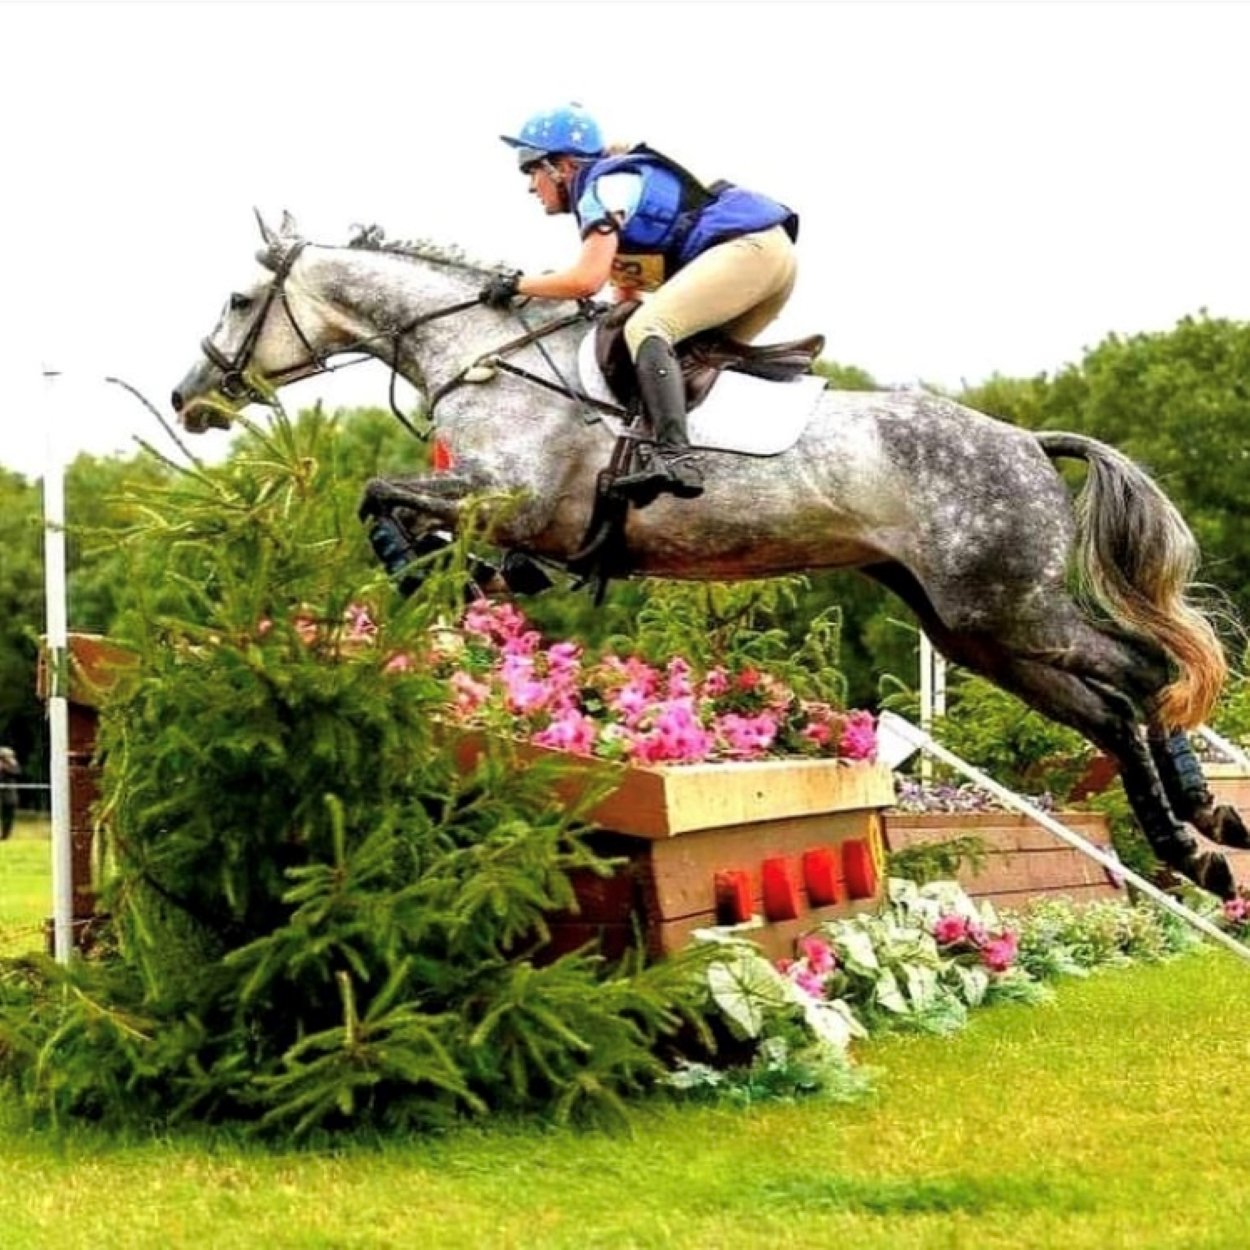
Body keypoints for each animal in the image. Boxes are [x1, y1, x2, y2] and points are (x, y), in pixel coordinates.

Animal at [171, 215, 1245, 900]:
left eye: (237, 298)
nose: (190, 398)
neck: (481, 354)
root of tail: (1025, 440)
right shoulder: (499, 510)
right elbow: (414, 523)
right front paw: (458, 589)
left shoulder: (510, 499)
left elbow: (379, 498)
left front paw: (431, 580)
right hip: (975, 629)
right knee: (1110, 709)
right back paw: (1198, 845)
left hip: (1008, 608)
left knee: (1142, 675)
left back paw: (1203, 828)